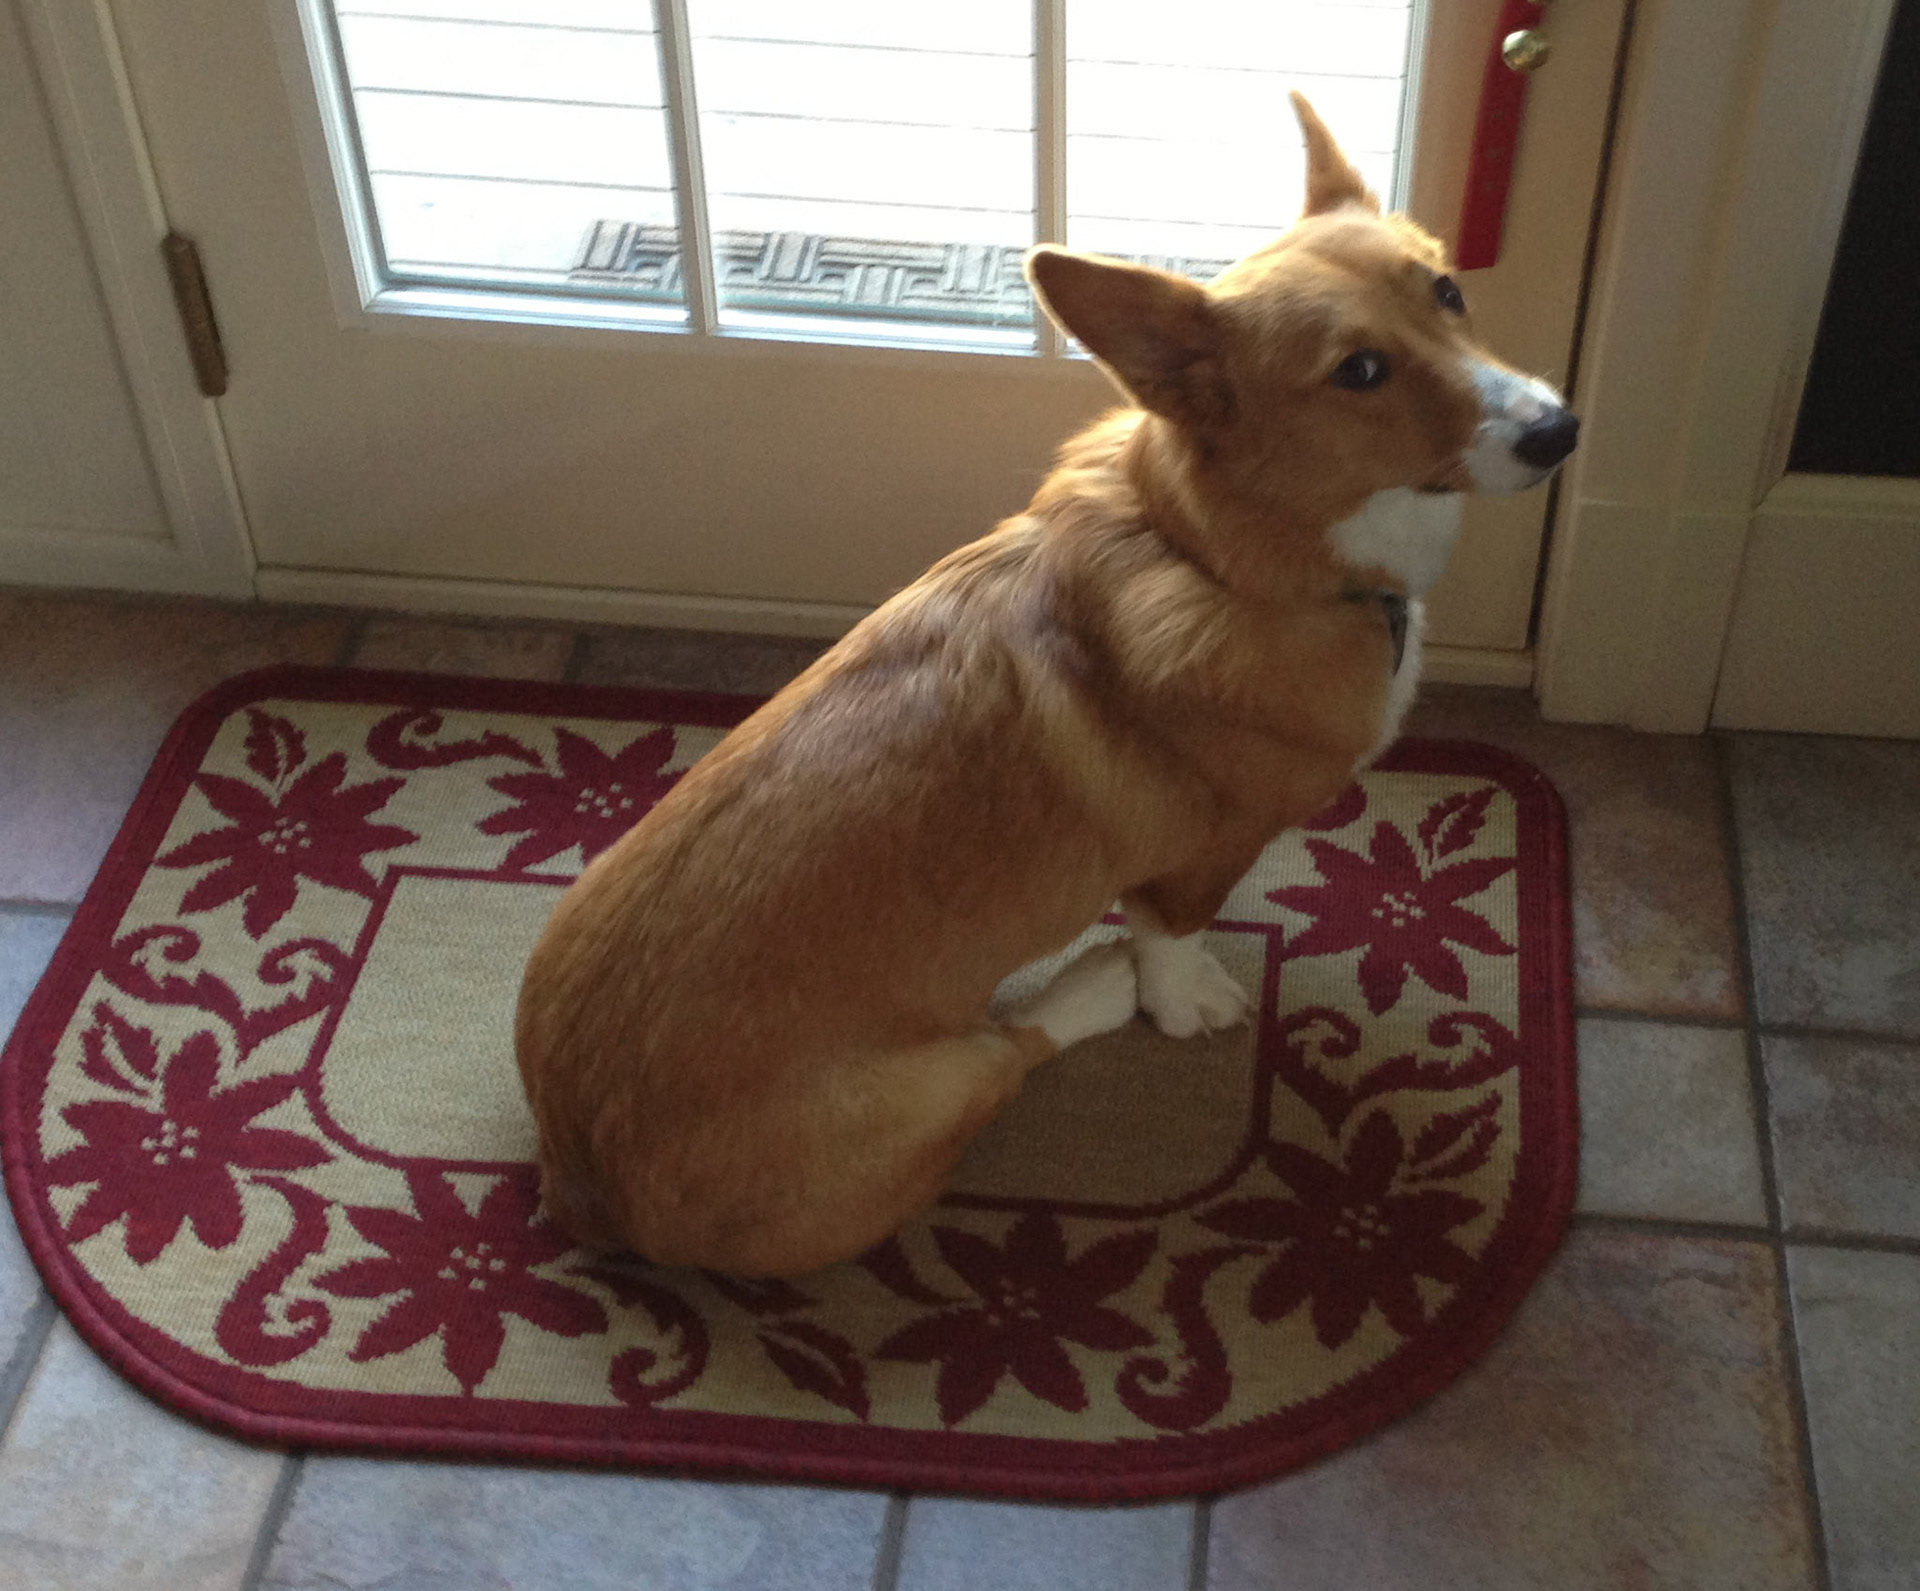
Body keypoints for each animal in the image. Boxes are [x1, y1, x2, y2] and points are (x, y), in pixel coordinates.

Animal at [514, 96, 1577, 1278]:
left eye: (1447, 290)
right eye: (1357, 371)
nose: (1558, 430)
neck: (1208, 551)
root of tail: (582, 1180)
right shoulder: (1211, 844)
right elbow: (1170, 930)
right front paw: (1175, 997)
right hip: (935, 1090)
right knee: (1011, 1048)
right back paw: (1088, 990)